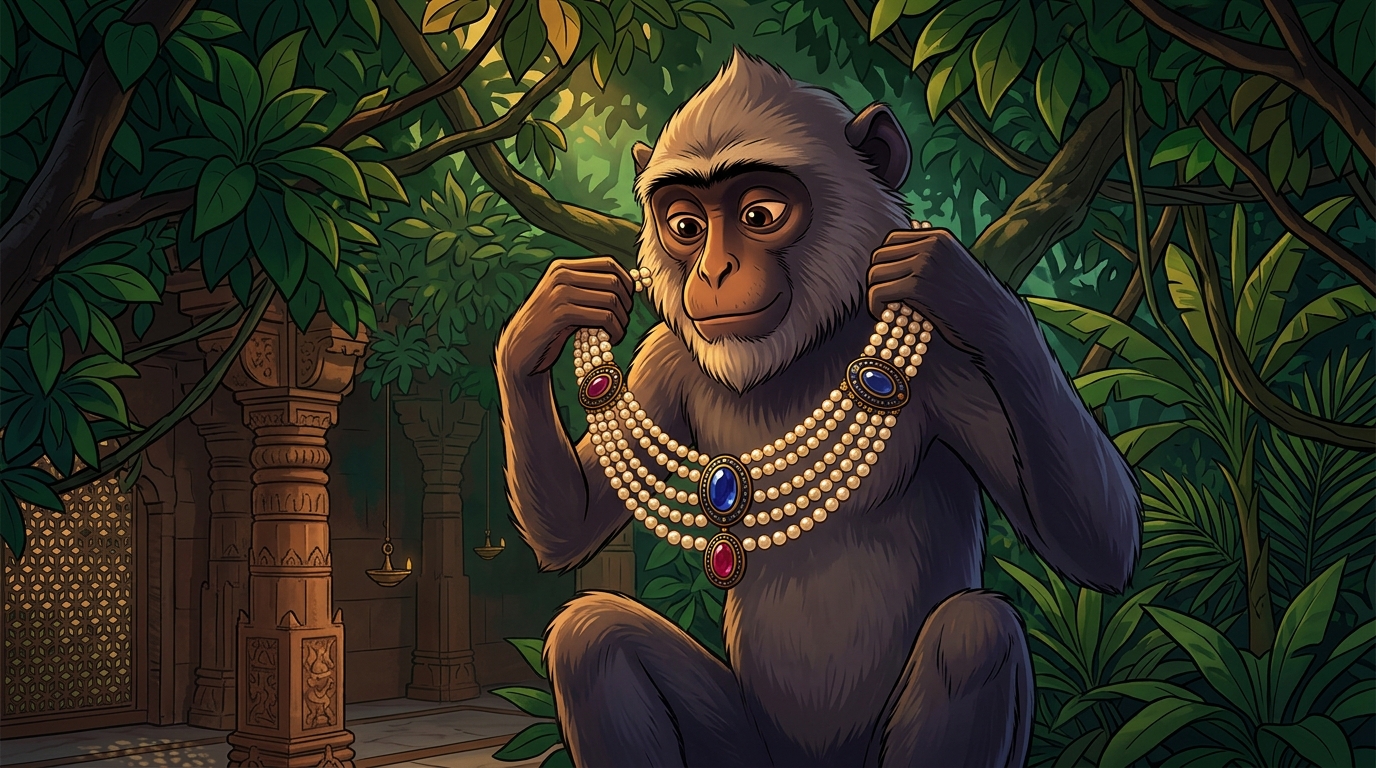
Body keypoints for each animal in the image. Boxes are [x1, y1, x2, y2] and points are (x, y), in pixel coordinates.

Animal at [495, 50, 1140, 767]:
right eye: (686, 226)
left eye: (760, 214)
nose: (713, 271)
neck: (803, 351)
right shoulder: (664, 358)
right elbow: (572, 527)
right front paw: (547, 314)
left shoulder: (952, 364)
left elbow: (1097, 543)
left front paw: (951, 276)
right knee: (591, 635)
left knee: (974, 634)